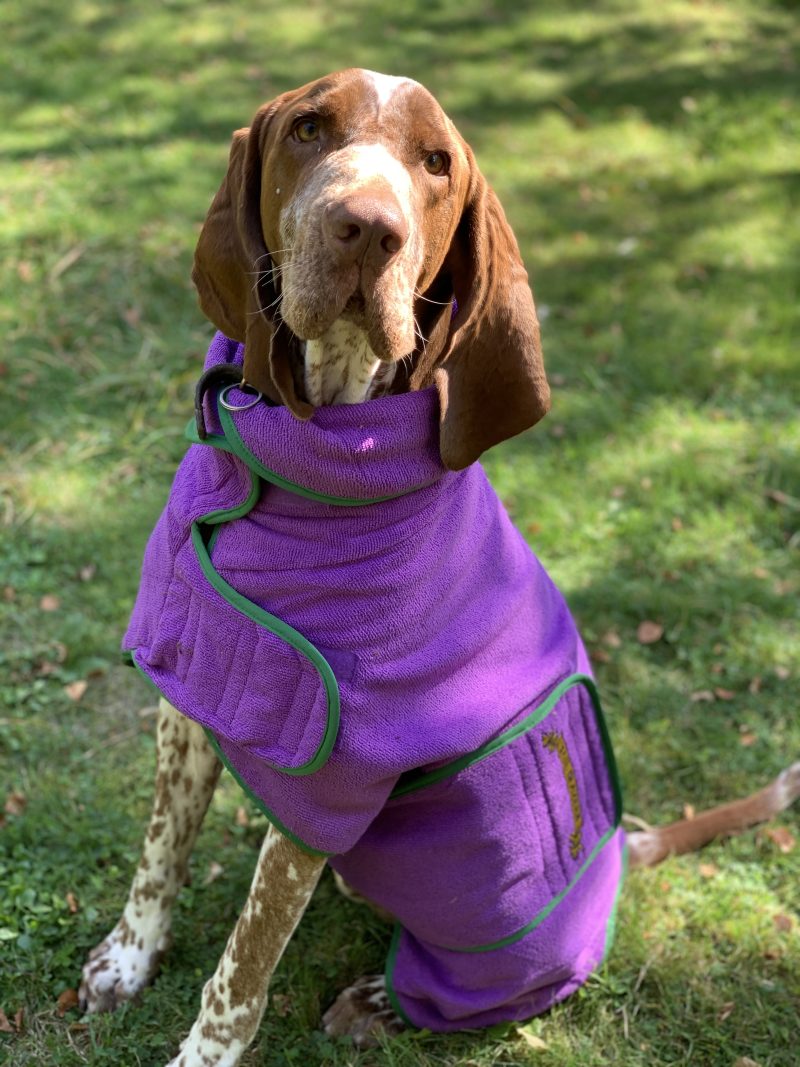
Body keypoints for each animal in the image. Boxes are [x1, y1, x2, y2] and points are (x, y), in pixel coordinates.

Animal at [76, 70, 800, 1062]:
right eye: (309, 129)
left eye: (436, 163)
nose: (367, 227)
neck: (296, 457)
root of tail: (622, 850)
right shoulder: (188, 687)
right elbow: (162, 847)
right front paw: (130, 955)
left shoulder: (327, 786)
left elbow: (245, 961)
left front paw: (202, 1049)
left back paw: (382, 1000)